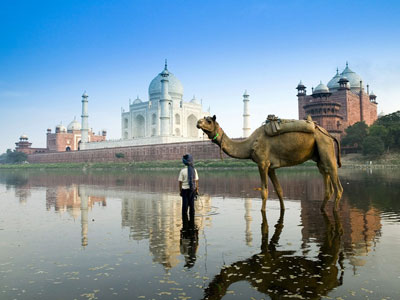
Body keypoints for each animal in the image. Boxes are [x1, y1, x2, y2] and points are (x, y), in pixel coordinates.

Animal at [197, 115, 344, 211]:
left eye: (209, 120)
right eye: (203, 118)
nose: (198, 122)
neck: (249, 144)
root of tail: (328, 134)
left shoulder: (262, 163)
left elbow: (264, 191)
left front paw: (263, 211)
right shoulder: (271, 167)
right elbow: (279, 190)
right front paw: (283, 209)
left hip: (326, 147)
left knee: (337, 184)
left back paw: (335, 210)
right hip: (319, 157)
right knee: (326, 182)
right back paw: (322, 209)